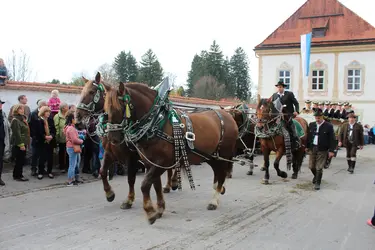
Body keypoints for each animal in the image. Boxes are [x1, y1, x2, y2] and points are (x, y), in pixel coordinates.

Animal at [75, 72, 144, 209]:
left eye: (91, 92)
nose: (78, 118)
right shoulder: (109, 153)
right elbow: (102, 172)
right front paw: (109, 193)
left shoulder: (131, 157)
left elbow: (130, 178)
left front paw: (129, 200)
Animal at [104, 82, 238, 225]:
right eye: (106, 109)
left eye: (119, 108)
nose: (112, 138)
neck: (157, 123)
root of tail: (228, 115)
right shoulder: (150, 163)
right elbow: (155, 185)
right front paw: (159, 209)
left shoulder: (162, 162)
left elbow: (145, 185)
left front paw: (150, 212)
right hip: (211, 156)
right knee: (218, 173)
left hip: (223, 155)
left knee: (222, 174)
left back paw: (214, 201)